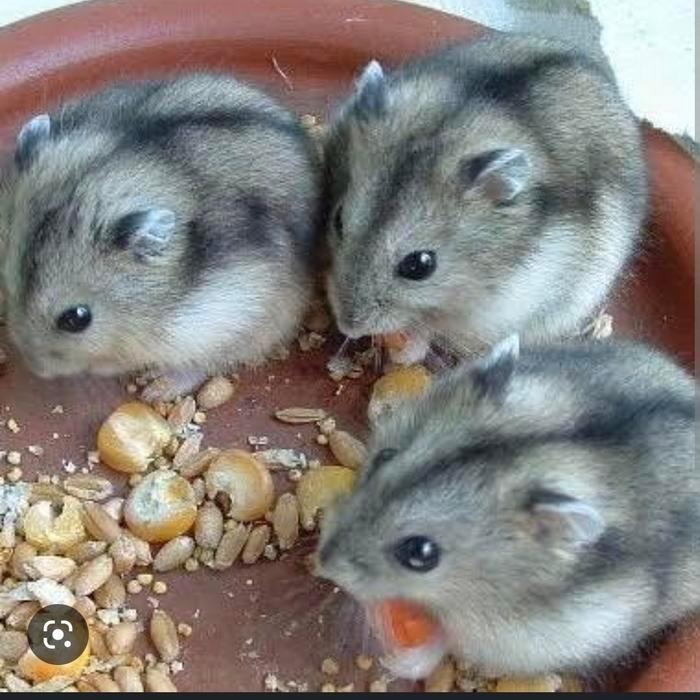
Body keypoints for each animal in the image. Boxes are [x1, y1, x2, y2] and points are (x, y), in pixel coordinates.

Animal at [317, 338, 698, 677]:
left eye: (421, 553)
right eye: (384, 456)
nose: (322, 563)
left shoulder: (518, 638)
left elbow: (445, 639)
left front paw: (395, 662)